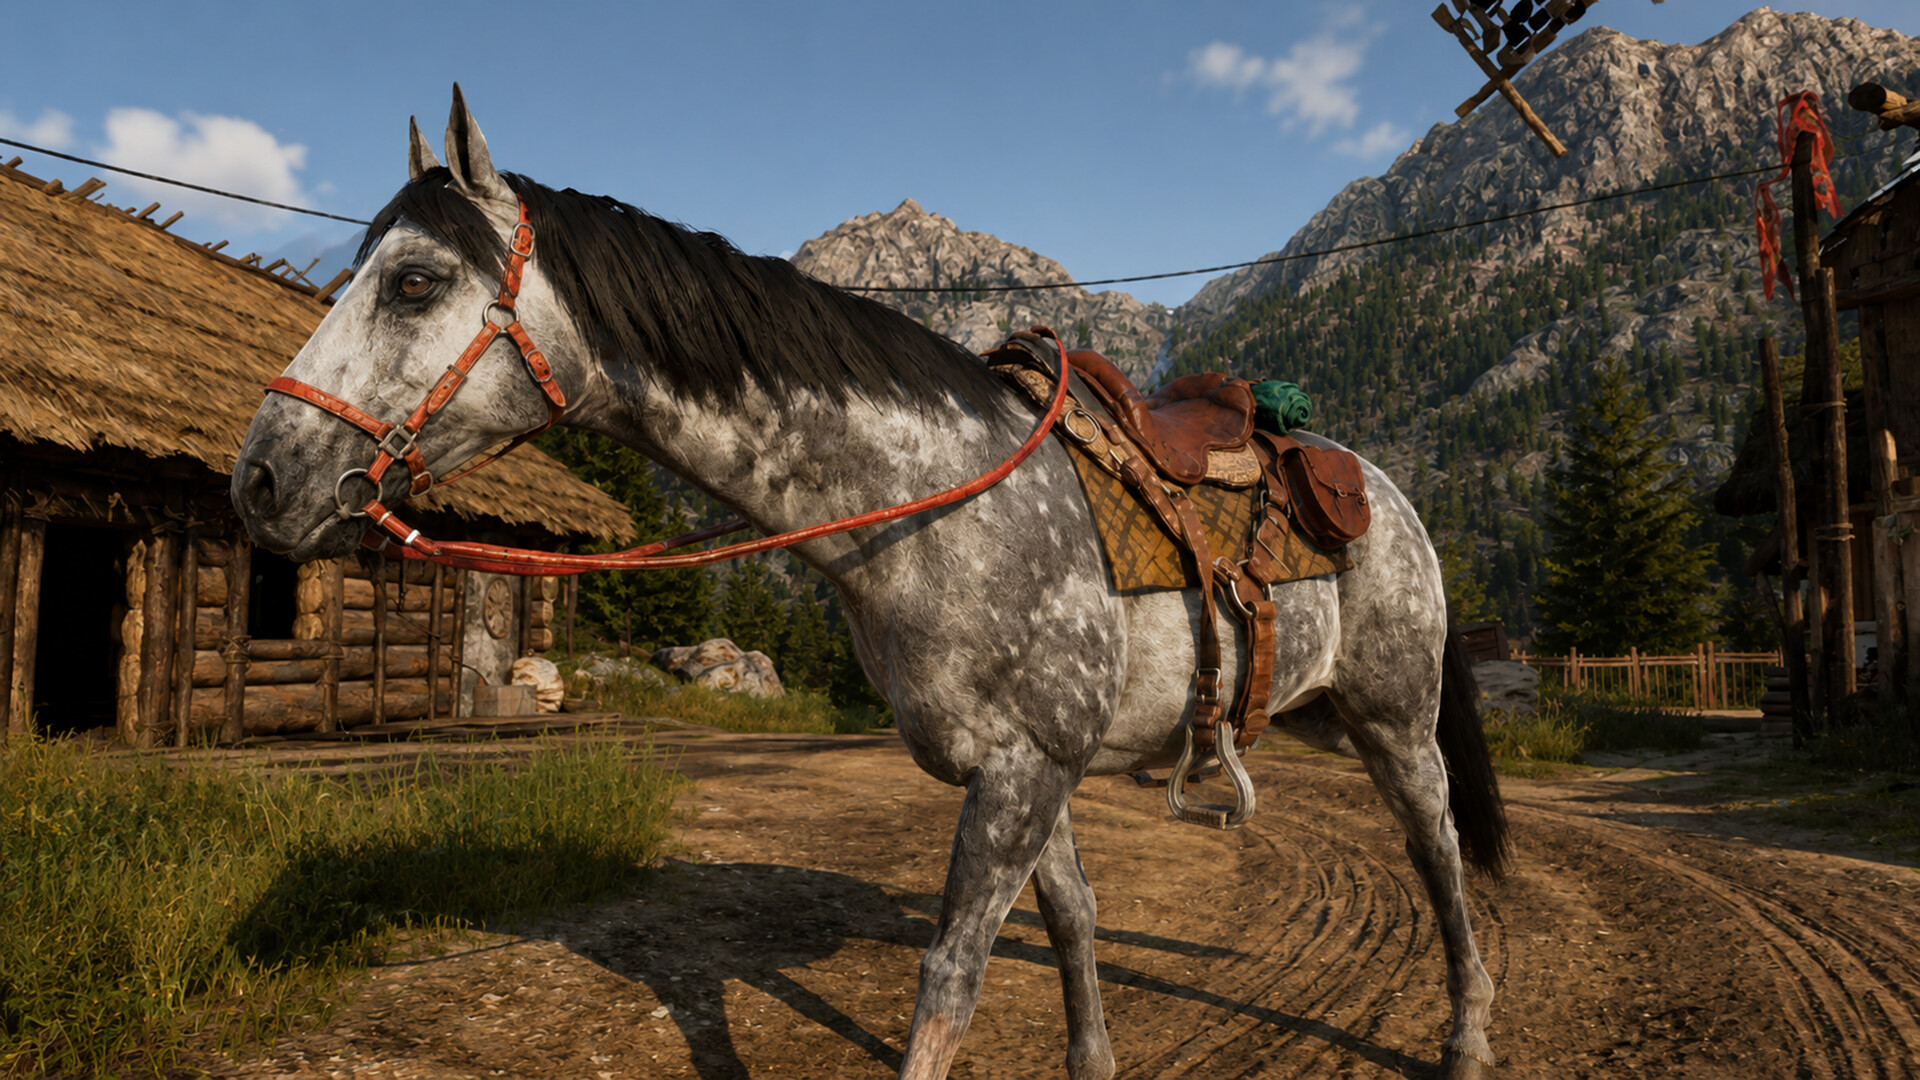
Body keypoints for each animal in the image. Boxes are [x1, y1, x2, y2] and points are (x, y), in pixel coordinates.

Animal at [231, 87, 1510, 1080]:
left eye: (411, 283)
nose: (261, 477)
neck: (934, 508)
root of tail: (1380, 490)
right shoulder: (1032, 771)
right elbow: (1074, 924)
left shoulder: (1018, 778)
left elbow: (948, 982)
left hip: (1398, 724)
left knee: (1443, 861)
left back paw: (1468, 1037)